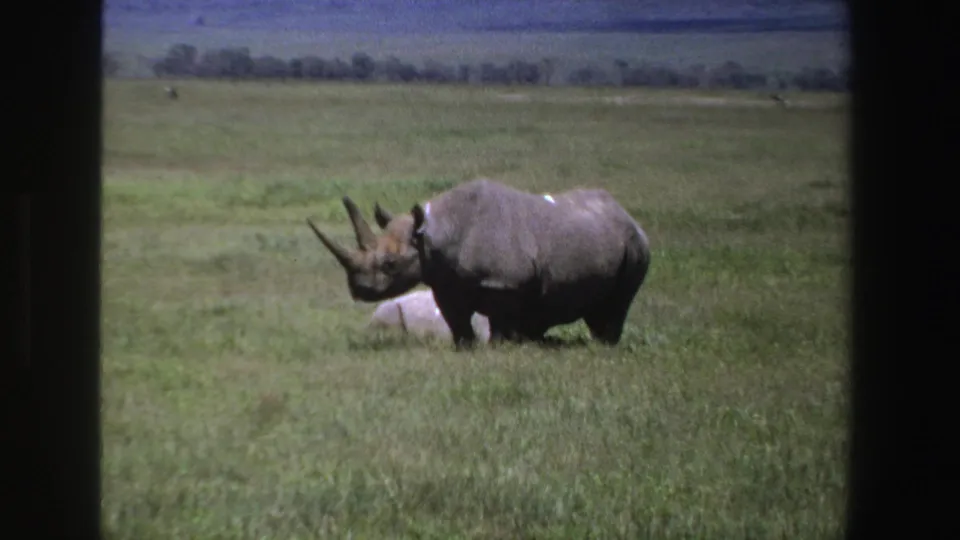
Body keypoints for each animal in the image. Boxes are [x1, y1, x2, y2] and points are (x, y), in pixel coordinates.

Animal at [307, 178, 651, 348]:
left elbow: (501, 321)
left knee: (618, 303)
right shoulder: (445, 282)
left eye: (390, 264)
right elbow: (457, 321)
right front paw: (465, 349)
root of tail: (626, 215)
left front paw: (501, 348)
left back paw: (604, 346)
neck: (433, 233)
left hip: (636, 246)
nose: (358, 290)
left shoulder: (506, 283)